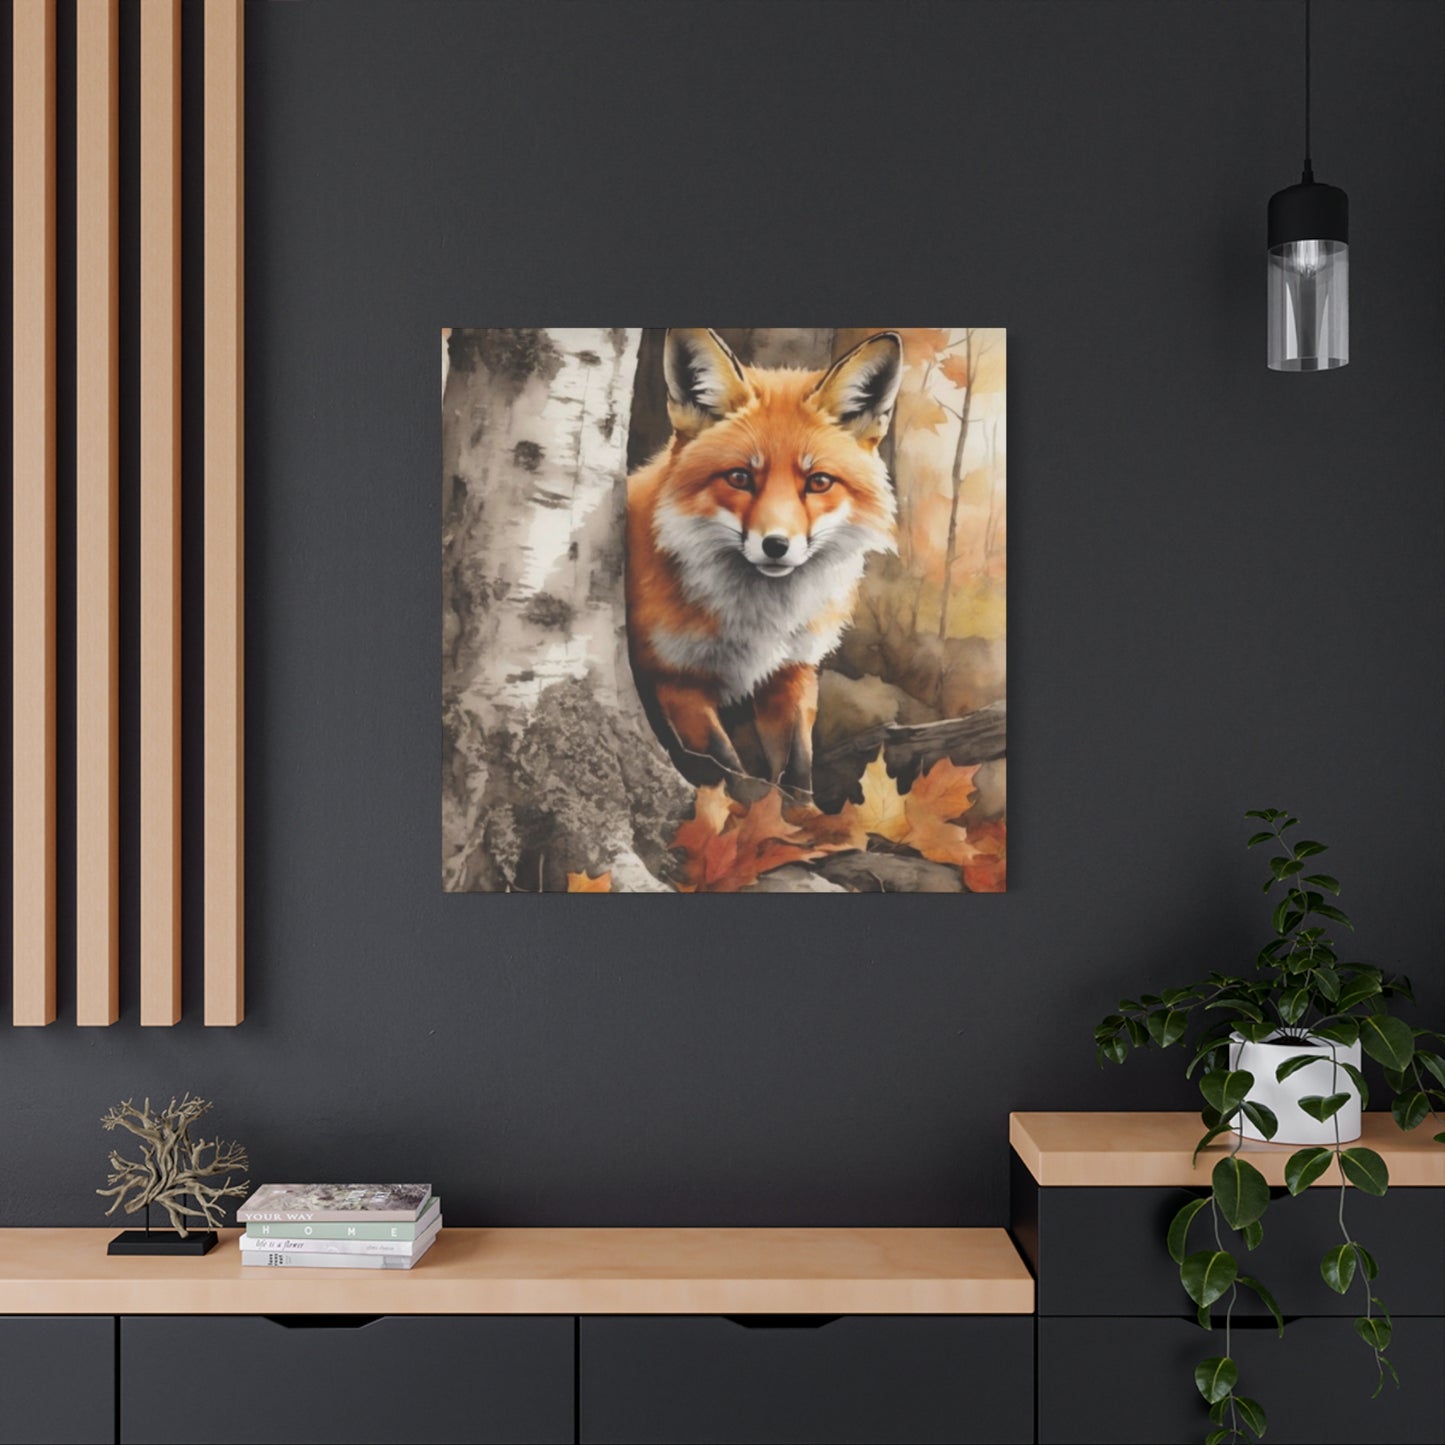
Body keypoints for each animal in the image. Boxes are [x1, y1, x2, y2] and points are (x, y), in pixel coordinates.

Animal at [626, 328, 903, 802]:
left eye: (818, 482)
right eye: (740, 477)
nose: (776, 545)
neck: (761, 621)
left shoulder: (793, 672)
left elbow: (797, 770)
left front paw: (801, 818)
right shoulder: (676, 680)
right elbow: (732, 773)